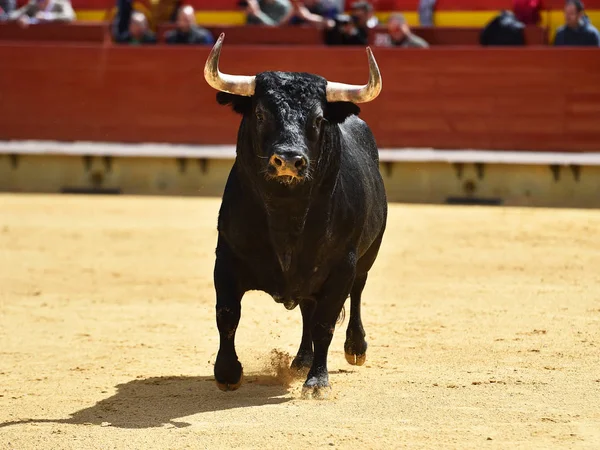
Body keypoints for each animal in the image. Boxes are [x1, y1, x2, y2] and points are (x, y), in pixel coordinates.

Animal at [204, 36, 386, 400]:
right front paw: (227, 373)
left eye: (317, 119)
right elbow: (227, 314)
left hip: (367, 255)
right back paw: (301, 360)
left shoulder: (341, 265)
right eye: (260, 113)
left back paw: (355, 348)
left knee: (356, 292)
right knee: (306, 309)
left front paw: (317, 383)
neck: (286, 211)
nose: (288, 159)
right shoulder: (226, 256)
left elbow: (325, 324)